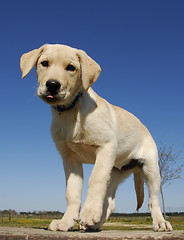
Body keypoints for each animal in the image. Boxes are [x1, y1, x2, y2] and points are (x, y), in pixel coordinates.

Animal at [20, 44, 172, 232]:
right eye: (44, 63)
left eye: (71, 68)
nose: (52, 85)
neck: (71, 111)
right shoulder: (70, 159)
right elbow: (72, 192)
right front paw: (66, 221)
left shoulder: (106, 148)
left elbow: (95, 179)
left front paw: (88, 212)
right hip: (115, 173)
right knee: (110, 203)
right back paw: (95, 225)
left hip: (150, 168)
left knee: (153, 200)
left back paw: (160, 222)